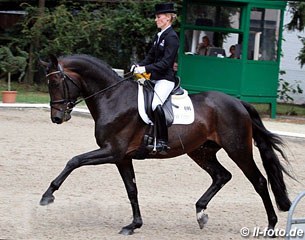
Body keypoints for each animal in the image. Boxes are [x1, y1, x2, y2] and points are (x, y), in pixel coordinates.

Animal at [39, 54, 290, 234]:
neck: (112, 97)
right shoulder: (122, 157)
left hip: (238, 149)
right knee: (222, 175)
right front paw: (134, 225)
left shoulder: (112, 151)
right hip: (201, 152)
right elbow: (132, 189)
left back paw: (270, 225)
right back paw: (200, 213)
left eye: (55, 82)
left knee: (259, 181)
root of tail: (239, 103)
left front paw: (47, 195)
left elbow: (74, 160)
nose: (57, 118)